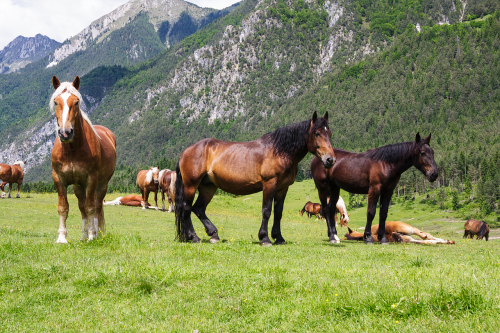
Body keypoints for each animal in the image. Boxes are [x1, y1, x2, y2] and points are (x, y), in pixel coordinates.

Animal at [50, 75, 117, 243]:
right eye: (56, 101)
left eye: (76, 102)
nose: (65, 132)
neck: (72, 150)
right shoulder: (59, 179)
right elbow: (63, 207)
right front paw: (62, 237)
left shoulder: (91, 179)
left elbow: (91, 208)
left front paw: (92, 236)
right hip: (78, 186)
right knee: (82, 207)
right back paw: (83, 235)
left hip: (101, 184)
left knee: (97, 205)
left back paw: (95, 233)